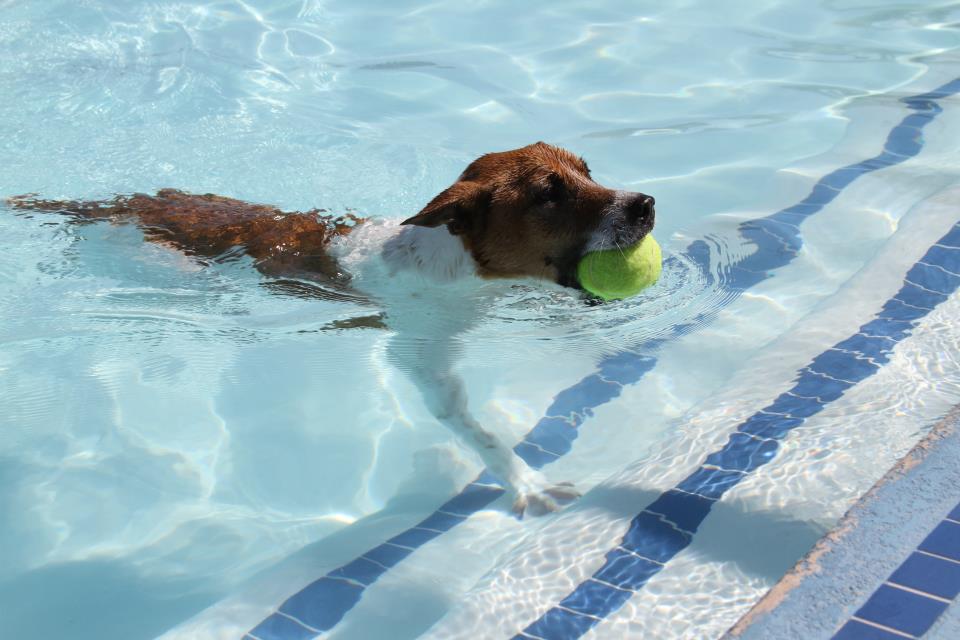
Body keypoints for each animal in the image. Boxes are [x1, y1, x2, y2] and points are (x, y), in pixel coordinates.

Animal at [7, 141, 656, 516]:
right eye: (549, 196)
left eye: (588, 172)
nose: (646, 204)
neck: (449, 261)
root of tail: (105, 207)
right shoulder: (421, 358)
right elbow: (481, 434)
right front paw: (525, 483)